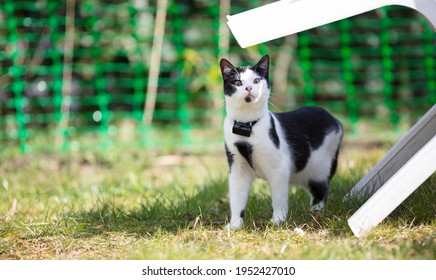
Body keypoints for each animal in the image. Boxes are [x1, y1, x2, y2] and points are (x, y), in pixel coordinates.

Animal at [220, 54, 342, 230]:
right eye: (237, 83)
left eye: (256, 80)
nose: (248, 88)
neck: (246, 126)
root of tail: (335, 120)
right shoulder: (237, 168)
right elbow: (236, 198)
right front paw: (235, 224)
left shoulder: (279, 168)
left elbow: (279, 197)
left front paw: (278, 220)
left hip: (319, 167)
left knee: (322, 189)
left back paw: (315, 211)